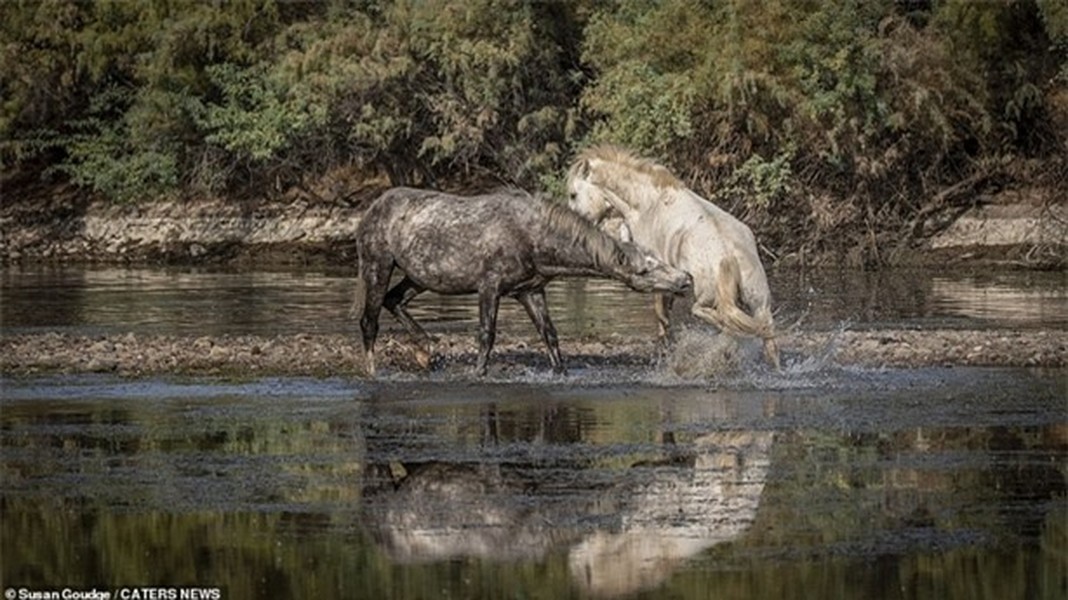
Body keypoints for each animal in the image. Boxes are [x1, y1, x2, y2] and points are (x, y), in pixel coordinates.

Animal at [352, 186, 692, 373]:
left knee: (394, 301)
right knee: (369, 321)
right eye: (644, 271)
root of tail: (370, 210)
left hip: (419, 277)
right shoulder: (489, 287)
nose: (686, 280)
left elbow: (550, 336)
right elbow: (486, 336)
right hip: (377, 265)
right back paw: (373, 373)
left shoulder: (530, 291)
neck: (532, 237)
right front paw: (478, 374)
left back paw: (426, 350)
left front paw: (561, 373)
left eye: (658, 258)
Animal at [568, 146, 786, 369]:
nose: (573, 228)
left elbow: (661, 313)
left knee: (711, 315)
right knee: (767, 339)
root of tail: (728, 256)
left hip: (709, 297)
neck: (646, 204)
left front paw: (665, 348)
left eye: (573, 195)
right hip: (760, 303)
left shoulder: (657, 268)